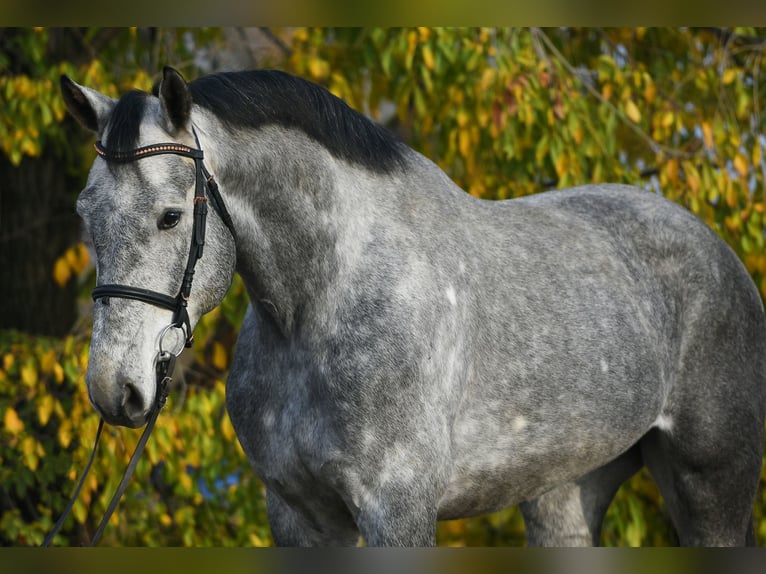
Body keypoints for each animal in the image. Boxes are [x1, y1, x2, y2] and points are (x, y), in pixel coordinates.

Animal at [60, 65, 766, 546]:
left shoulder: (396, 513)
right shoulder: (298, 516)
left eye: (170, 216)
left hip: (713, 487)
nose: (113, 390)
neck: (322, 308)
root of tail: (719, 253)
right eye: (85, 215)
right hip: (564, 492)